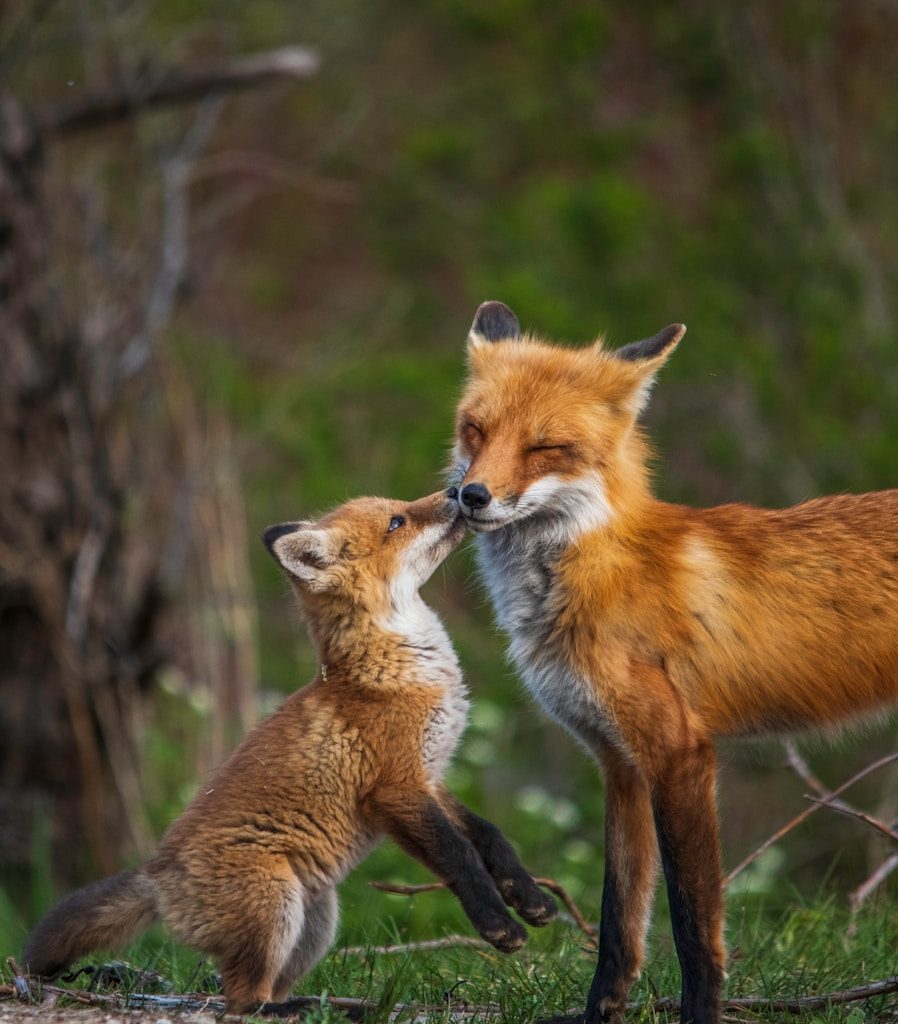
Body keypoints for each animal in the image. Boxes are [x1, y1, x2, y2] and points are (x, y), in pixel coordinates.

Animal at [22, 489, 557, 1013]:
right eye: (397, 522)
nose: (458, 491)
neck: (395, 669)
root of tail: (157, 876)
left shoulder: (429, 776)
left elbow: (489, 835)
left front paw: (530, 897)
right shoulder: (394, 791)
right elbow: (459, 855)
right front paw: (499, 926)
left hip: (316, 918)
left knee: (264, 989)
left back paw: (335, 1006)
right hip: (276, 902)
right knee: (242, 1002)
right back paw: (308, 1009)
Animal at [449, 301, 898, 1024]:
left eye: (546, 446)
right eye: (476, 429)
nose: (471, 495)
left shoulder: (679, 751)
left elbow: (692, 924)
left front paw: (702, 1011)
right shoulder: (619, 762)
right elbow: (619, 925)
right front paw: (599, 1013)